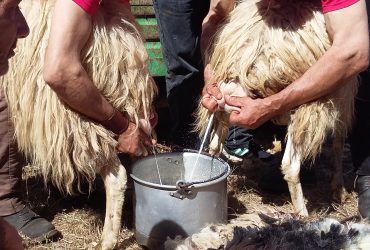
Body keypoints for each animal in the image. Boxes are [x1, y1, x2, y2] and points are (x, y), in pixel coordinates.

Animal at [195, 0, 356, 216]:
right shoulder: (344, 92)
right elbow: (339, 142)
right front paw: (338, 189)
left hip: (224, 108)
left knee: (214, 147)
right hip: (307, 103)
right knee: (290, 166)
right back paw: (303, 215)